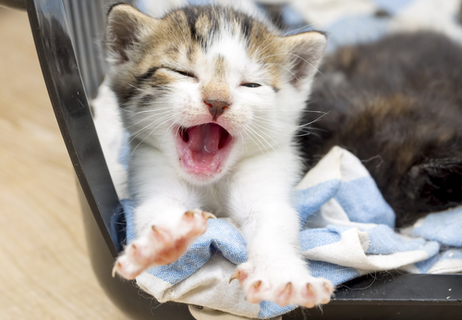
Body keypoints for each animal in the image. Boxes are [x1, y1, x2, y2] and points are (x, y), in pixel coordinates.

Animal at [106, 2, 334, 308]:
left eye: (251, 85)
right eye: (182, 72)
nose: (217, 101)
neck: (212, 183)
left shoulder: (267, 167)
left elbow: (273, 220)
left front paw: (283, 277)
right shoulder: (149, 161)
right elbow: (160, 207)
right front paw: (165, 241)